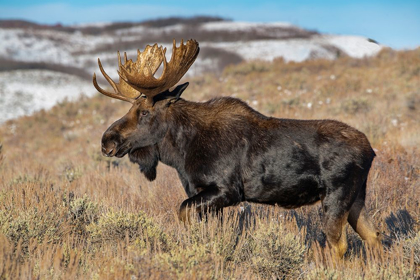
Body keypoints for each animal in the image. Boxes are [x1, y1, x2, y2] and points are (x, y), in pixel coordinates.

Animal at [93, 39, 382, 258]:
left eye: (143, 112)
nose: (107, 141)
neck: (180, 153)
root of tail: (371, 151)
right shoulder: (206, 195)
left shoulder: (227, 190)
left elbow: (184, 212)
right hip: (356, 197)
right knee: (374, 236)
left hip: (336, 195)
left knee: (339, 245)